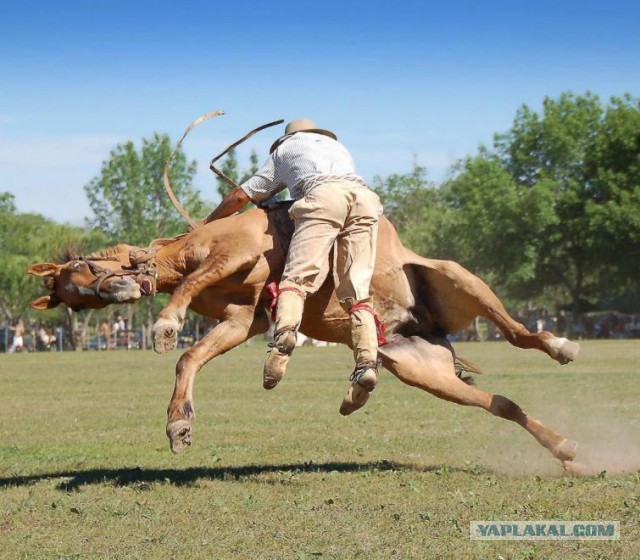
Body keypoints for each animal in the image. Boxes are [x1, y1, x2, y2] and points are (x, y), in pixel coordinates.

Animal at [27, 206, 584, 468]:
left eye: (81, 267)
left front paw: (165, 323)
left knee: (518, 335)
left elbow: (190, 287)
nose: (119, 291)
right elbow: (191, 358)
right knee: (501, 403)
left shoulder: (239, 255)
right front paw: (178, 426)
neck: (184, 249)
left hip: (459, 279)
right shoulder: (241, 321)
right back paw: (563, 447)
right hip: (423, 370)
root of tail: (421, 325)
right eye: (77, 301)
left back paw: (561, 347)